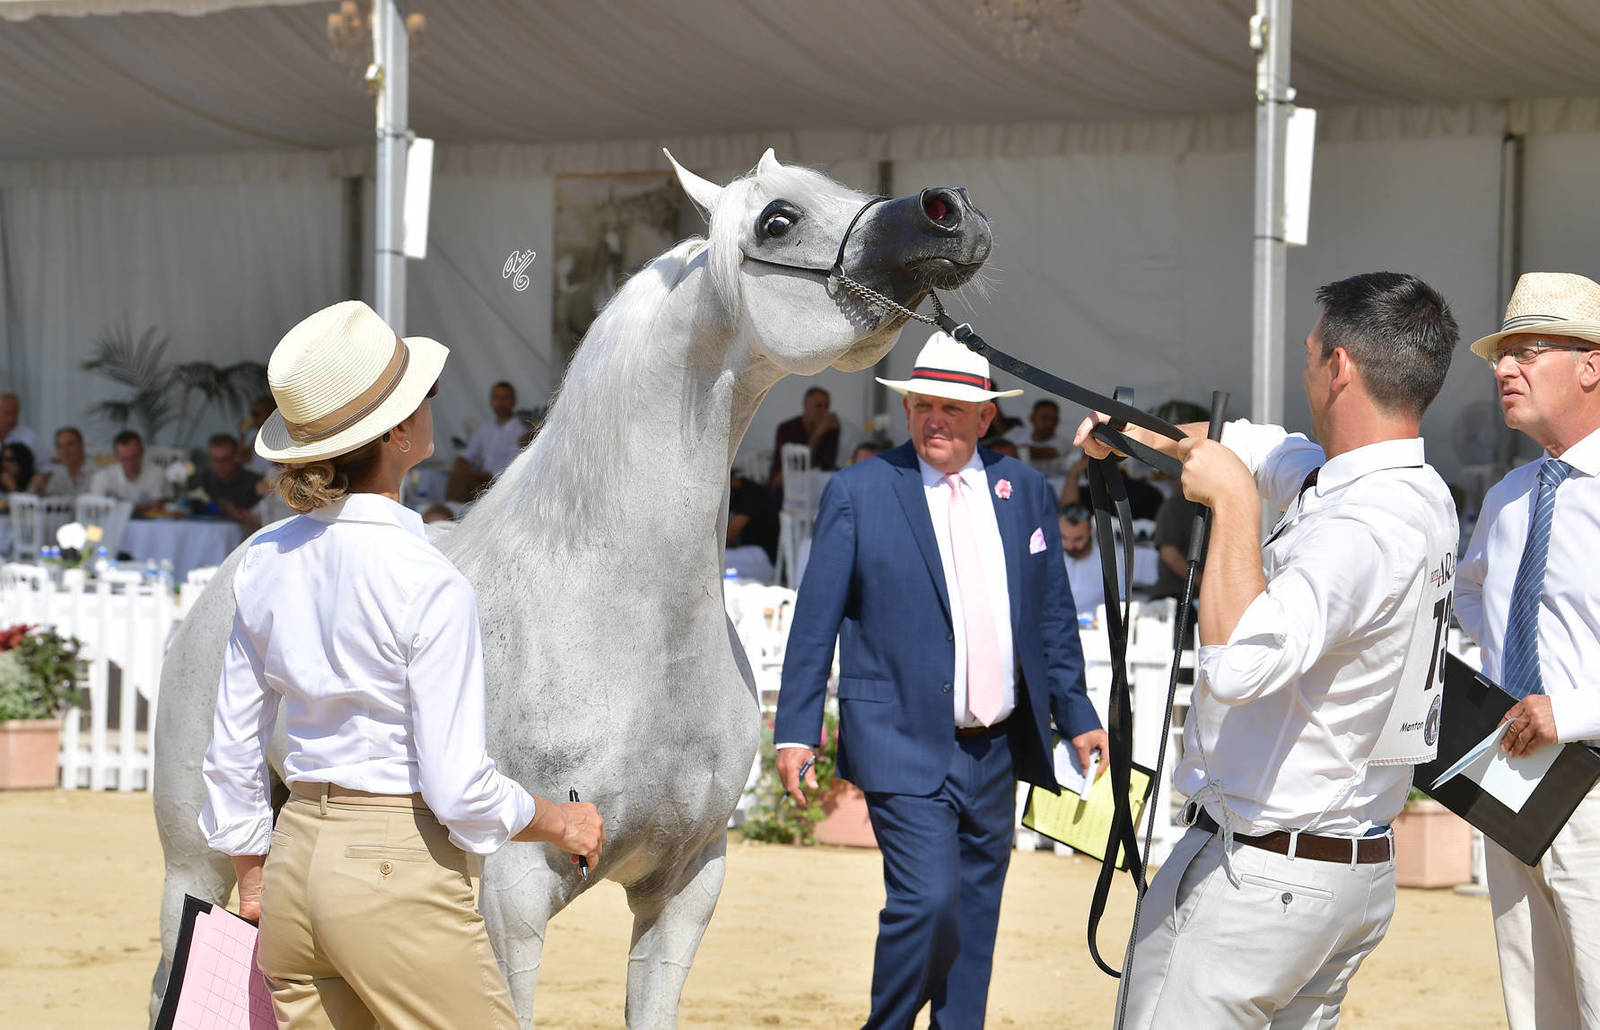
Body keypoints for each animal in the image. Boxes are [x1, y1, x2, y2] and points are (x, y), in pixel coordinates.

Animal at [148, 149, 992, 1027]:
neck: (614, 607)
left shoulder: (687, 886)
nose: (947, 211)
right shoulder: (512, 899)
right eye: (778, 220)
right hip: (197, 863)